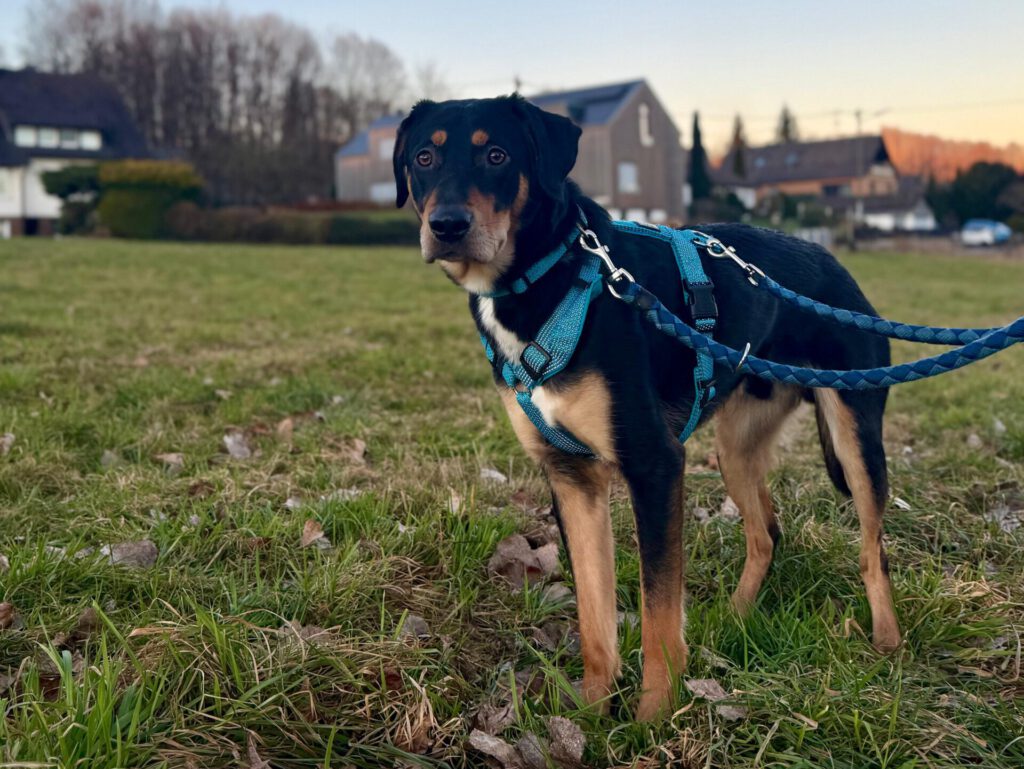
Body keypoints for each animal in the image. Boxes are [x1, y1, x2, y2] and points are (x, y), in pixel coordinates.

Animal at [392, 95, 899, 721]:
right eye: (424, 157)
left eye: (497, 155)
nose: (446, 226)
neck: (548, 278)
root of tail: (833, 262)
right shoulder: (571, 478)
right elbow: (594, 614)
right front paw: (592, 711)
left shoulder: (654, 464)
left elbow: (659, 612)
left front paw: (653, 716)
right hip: (735, 448)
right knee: (766, 533)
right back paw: (735, 617)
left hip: (855, 434)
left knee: (873, 549)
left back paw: (886, 645)